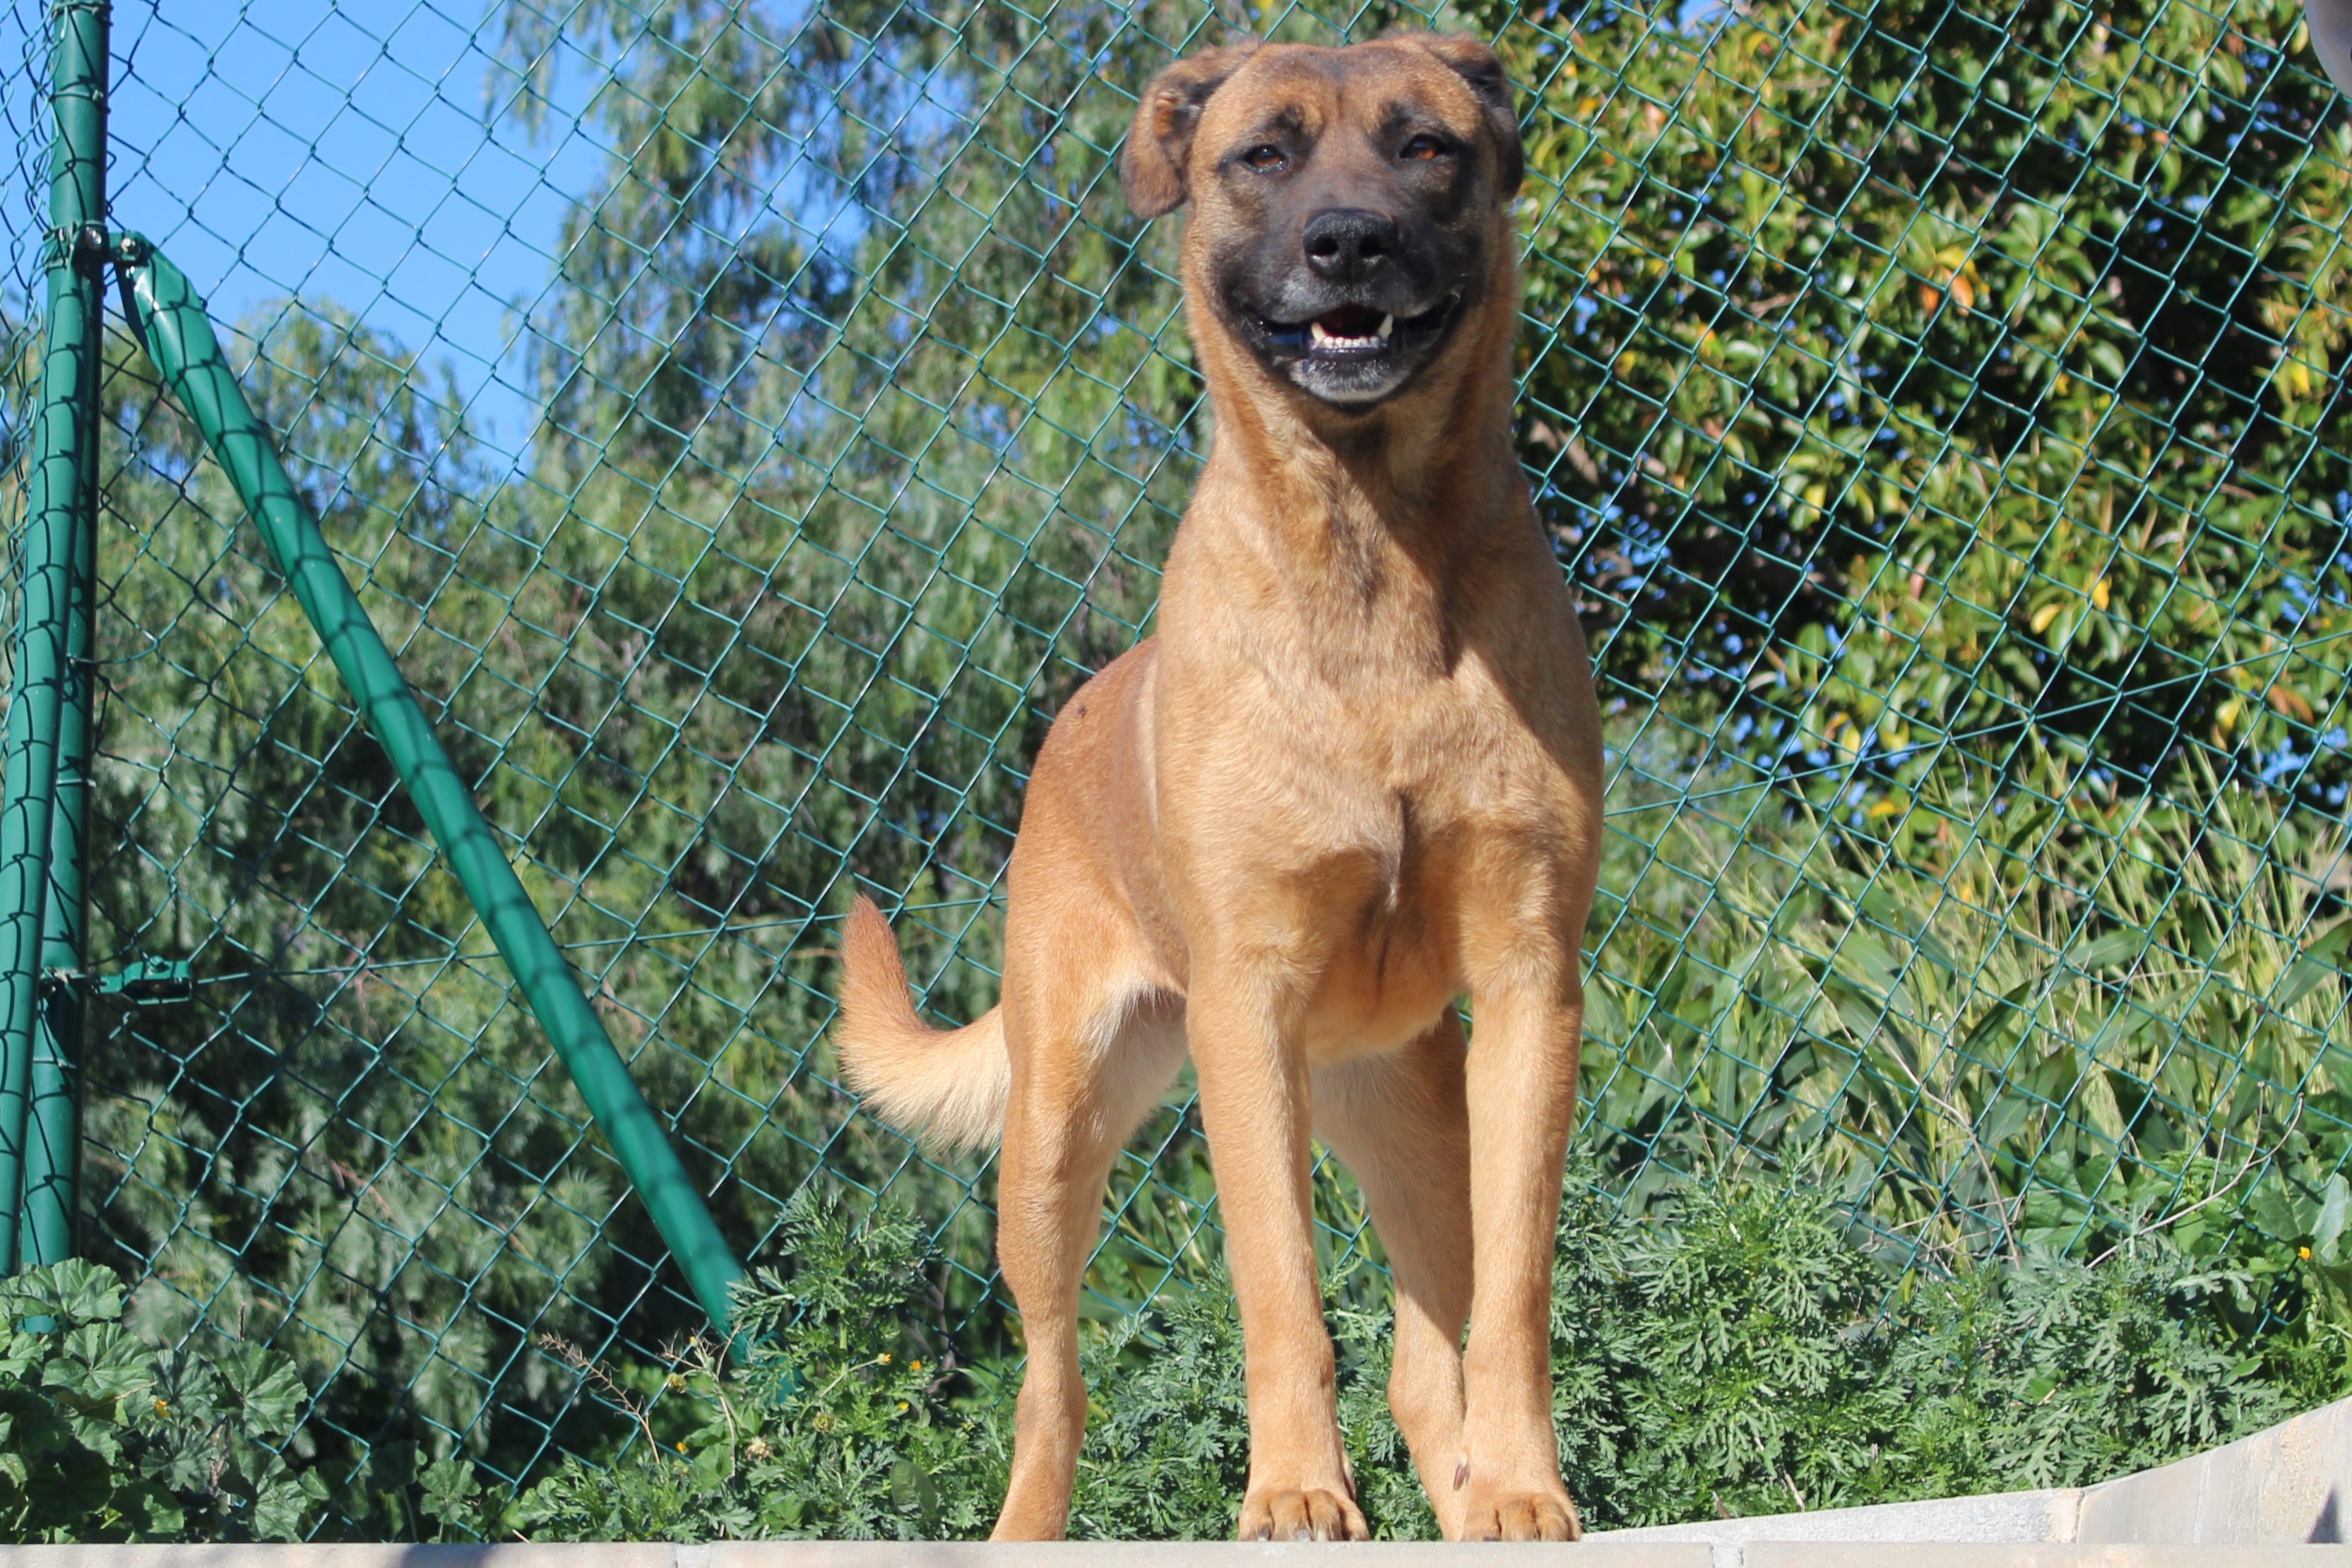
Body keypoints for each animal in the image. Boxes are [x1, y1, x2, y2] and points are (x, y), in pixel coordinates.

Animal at [837, 33, 1608, 1542]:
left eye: (1425, 146)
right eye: (1264, 153)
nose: (1349, 239)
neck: (1372, 570)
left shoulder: (1530, 986)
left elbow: (1512, 1298)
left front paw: (1524, 1493)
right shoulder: (1247, 1018)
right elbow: (1279, 1296)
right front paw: (1296, 1494)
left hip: (1411, 1115)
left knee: (1430, 1359)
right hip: (1055, 1138)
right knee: (1051, 1385)